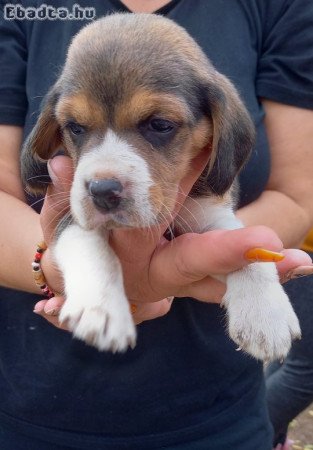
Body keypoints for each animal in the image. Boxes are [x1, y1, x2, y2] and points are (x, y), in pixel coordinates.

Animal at [22, 12, 300, 360]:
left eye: (160, 125)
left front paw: (265, 314)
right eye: (75, 127)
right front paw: (102, 310)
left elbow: (246, 247)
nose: (102, 191)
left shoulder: (209, 215)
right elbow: (93, 249)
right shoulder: (70, 213)